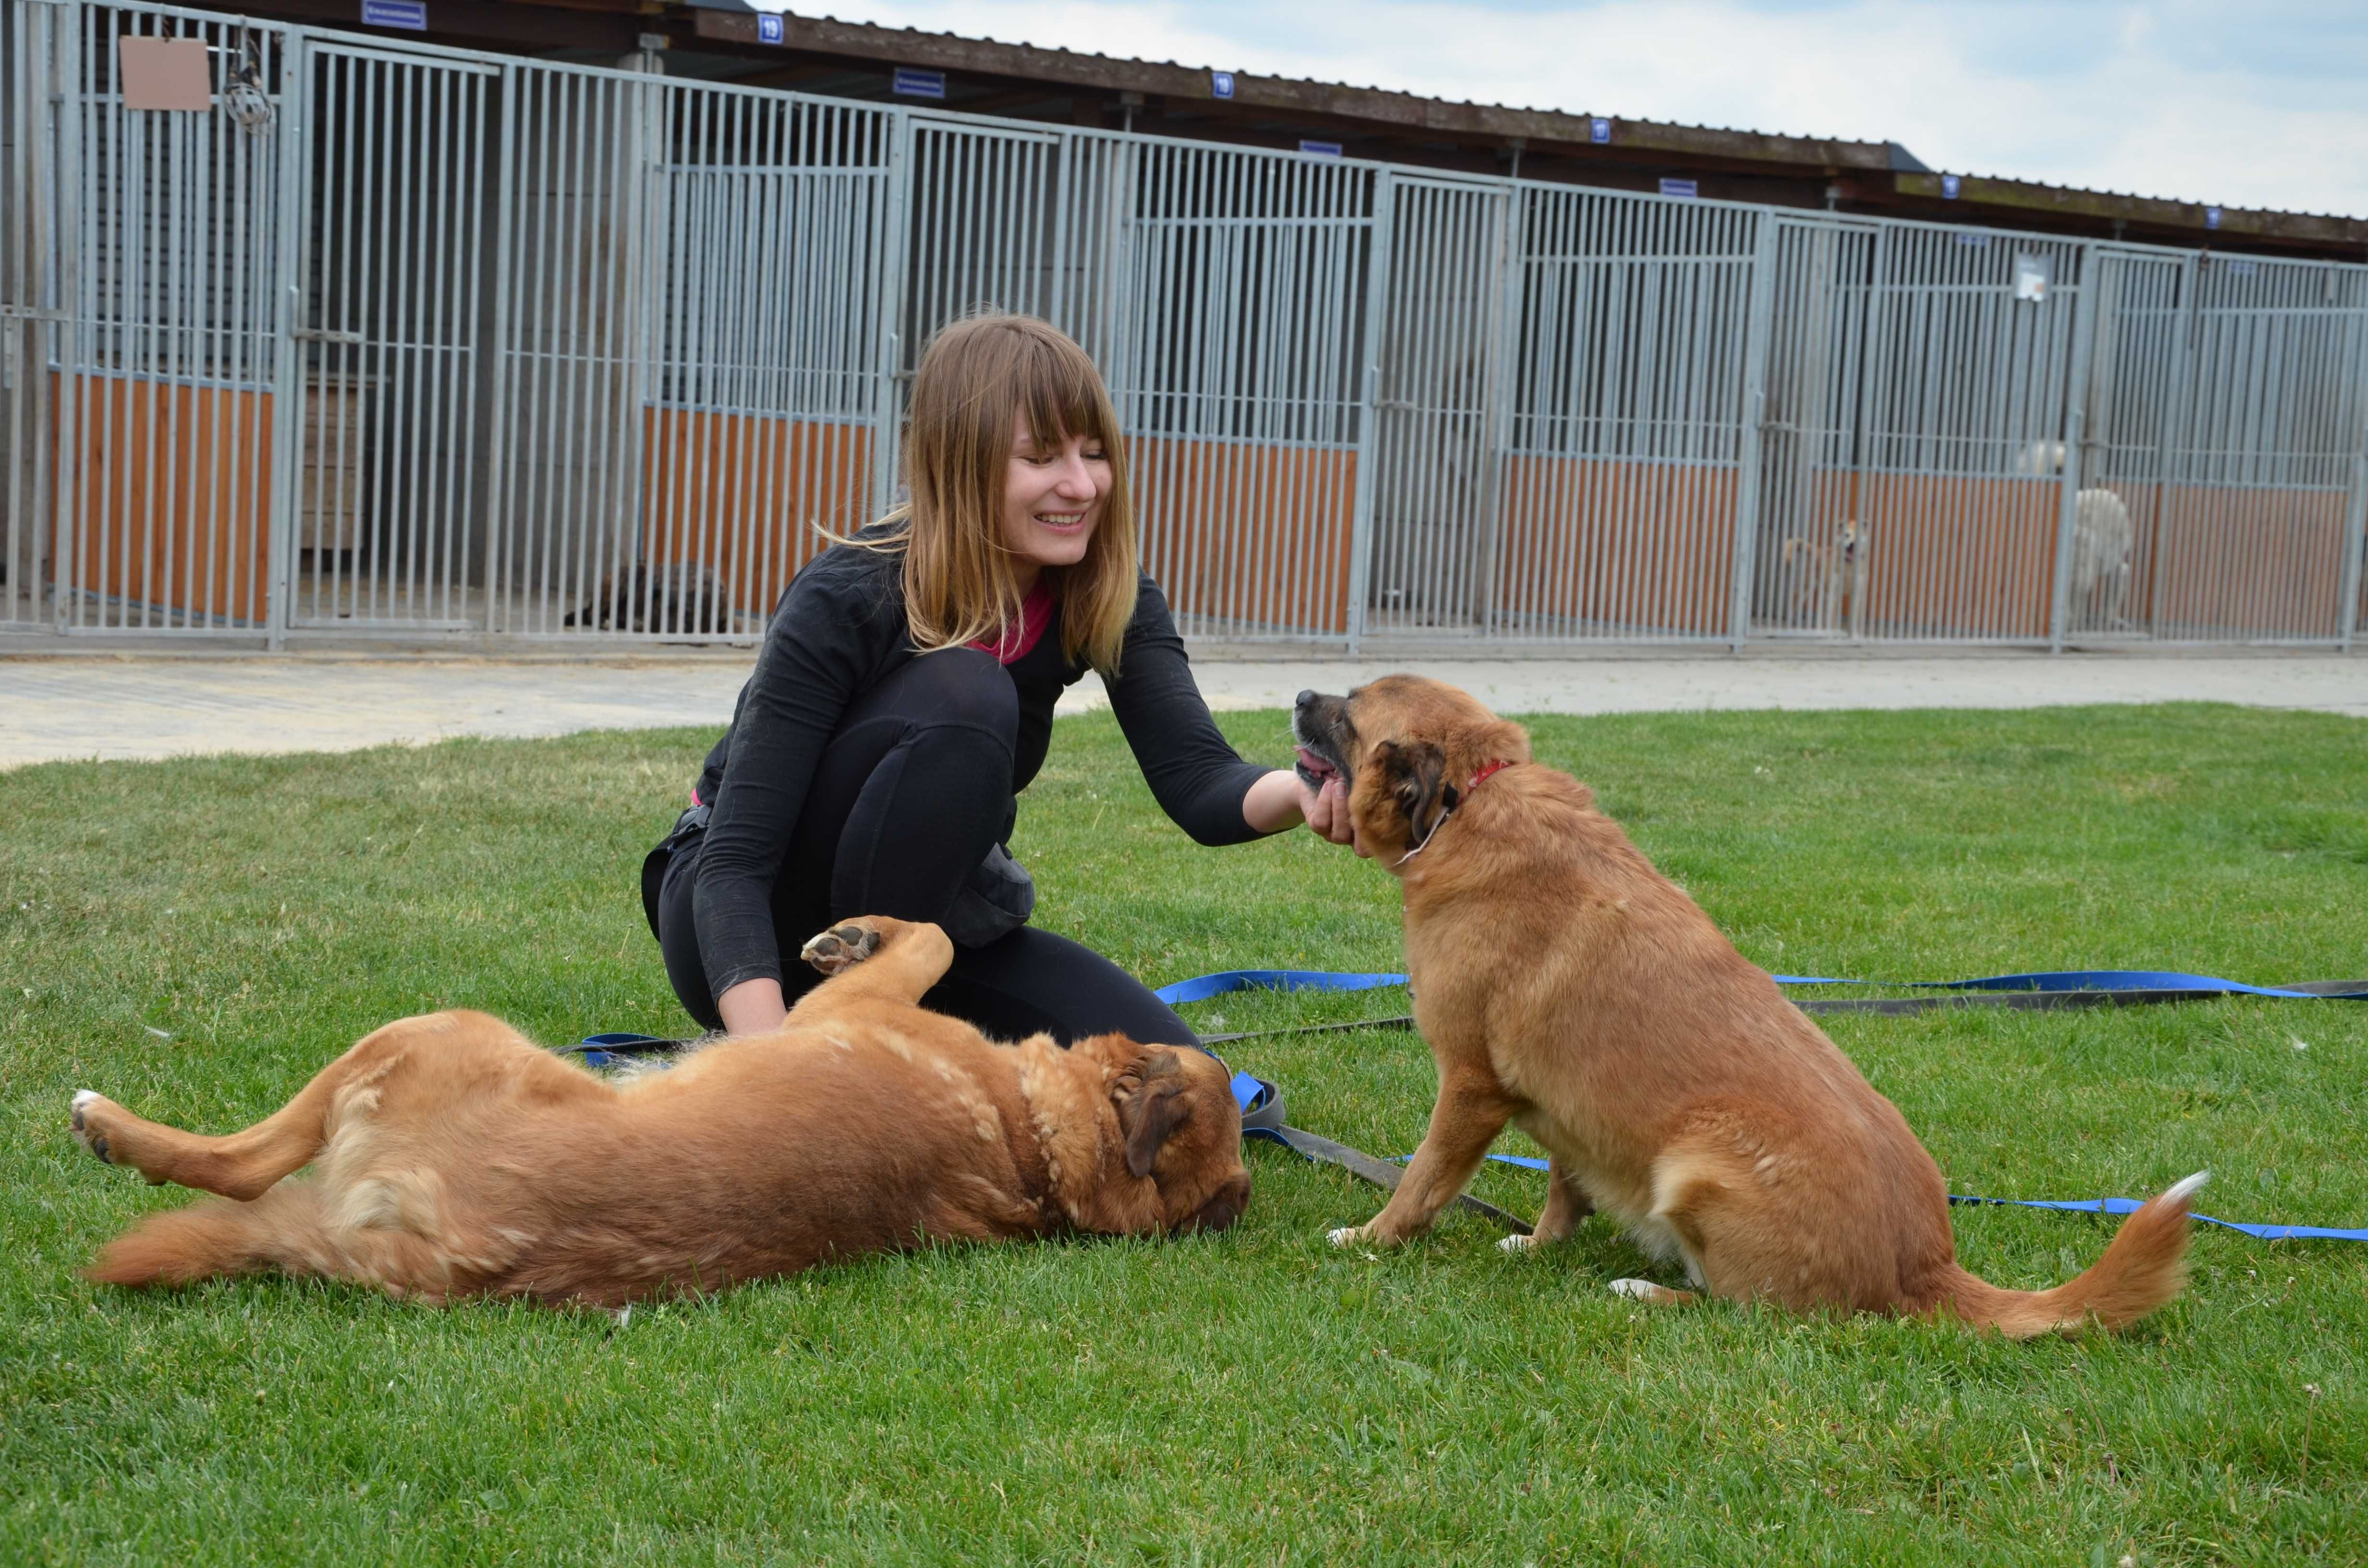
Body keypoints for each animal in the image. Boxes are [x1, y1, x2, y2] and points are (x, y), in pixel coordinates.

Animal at [69, 914, 1259, 1307]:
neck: (1027, 1137)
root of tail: (447, 1260)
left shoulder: (849, 1007)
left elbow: (929, 939)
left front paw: (856, 933)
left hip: (434, 1030)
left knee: (238, 1163)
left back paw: (111, 1124)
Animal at [1297, 677, 2197, 1335]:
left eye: (1351, 708)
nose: (1302, 692)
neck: (1470, 798)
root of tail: (1923, 1266)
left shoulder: (1469, 1086)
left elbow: (1421, 1181)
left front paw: (1372, 1240)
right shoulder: (1562, 1105)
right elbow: (1564, 1187)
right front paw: (1538, 1243)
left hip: (1698, 1162)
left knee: (1741, 1313)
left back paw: (1642, 1290)